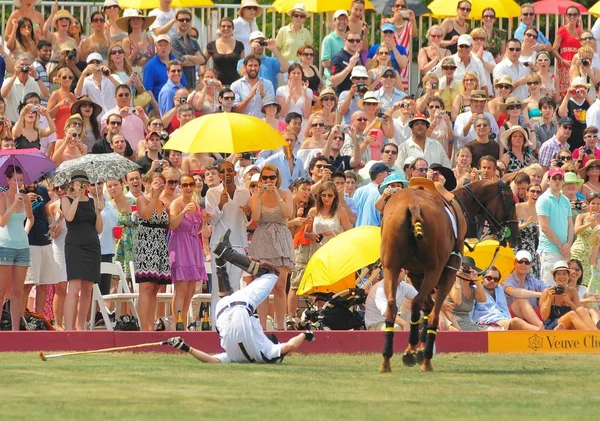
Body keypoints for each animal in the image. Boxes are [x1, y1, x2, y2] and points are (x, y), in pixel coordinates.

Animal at [380, 177, 516, 370]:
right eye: (512, 202)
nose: (515, 236)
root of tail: (414, 206)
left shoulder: (415, 273)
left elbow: (427, 307)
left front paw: (418, 348)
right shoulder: (448, 273)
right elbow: (434, 312)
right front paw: (422, 352)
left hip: (391, 268)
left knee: (393, 306)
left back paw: (387, 359)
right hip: (434, 270)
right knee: (420, 305)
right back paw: (421, 358)